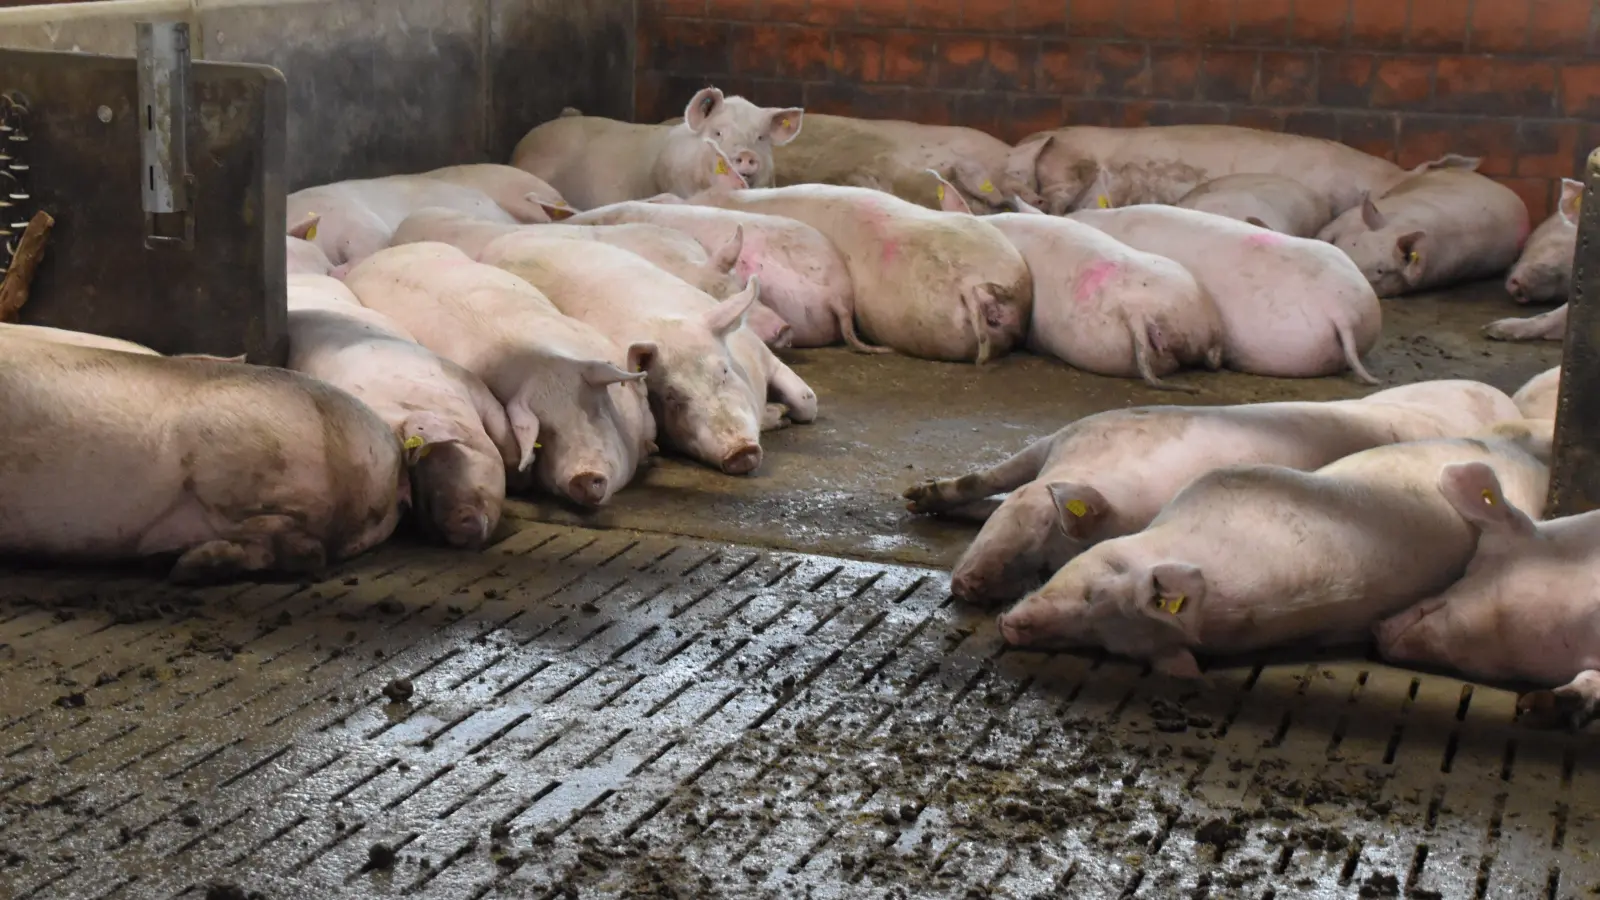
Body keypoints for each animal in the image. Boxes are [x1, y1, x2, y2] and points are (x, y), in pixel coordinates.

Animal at [908, 379, 1524, 605]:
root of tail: (1504, 399)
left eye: (1044, 554)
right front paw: (919, 496)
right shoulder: (1071, 436)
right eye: (1019, 521)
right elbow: (991, 478)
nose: (965, 584)